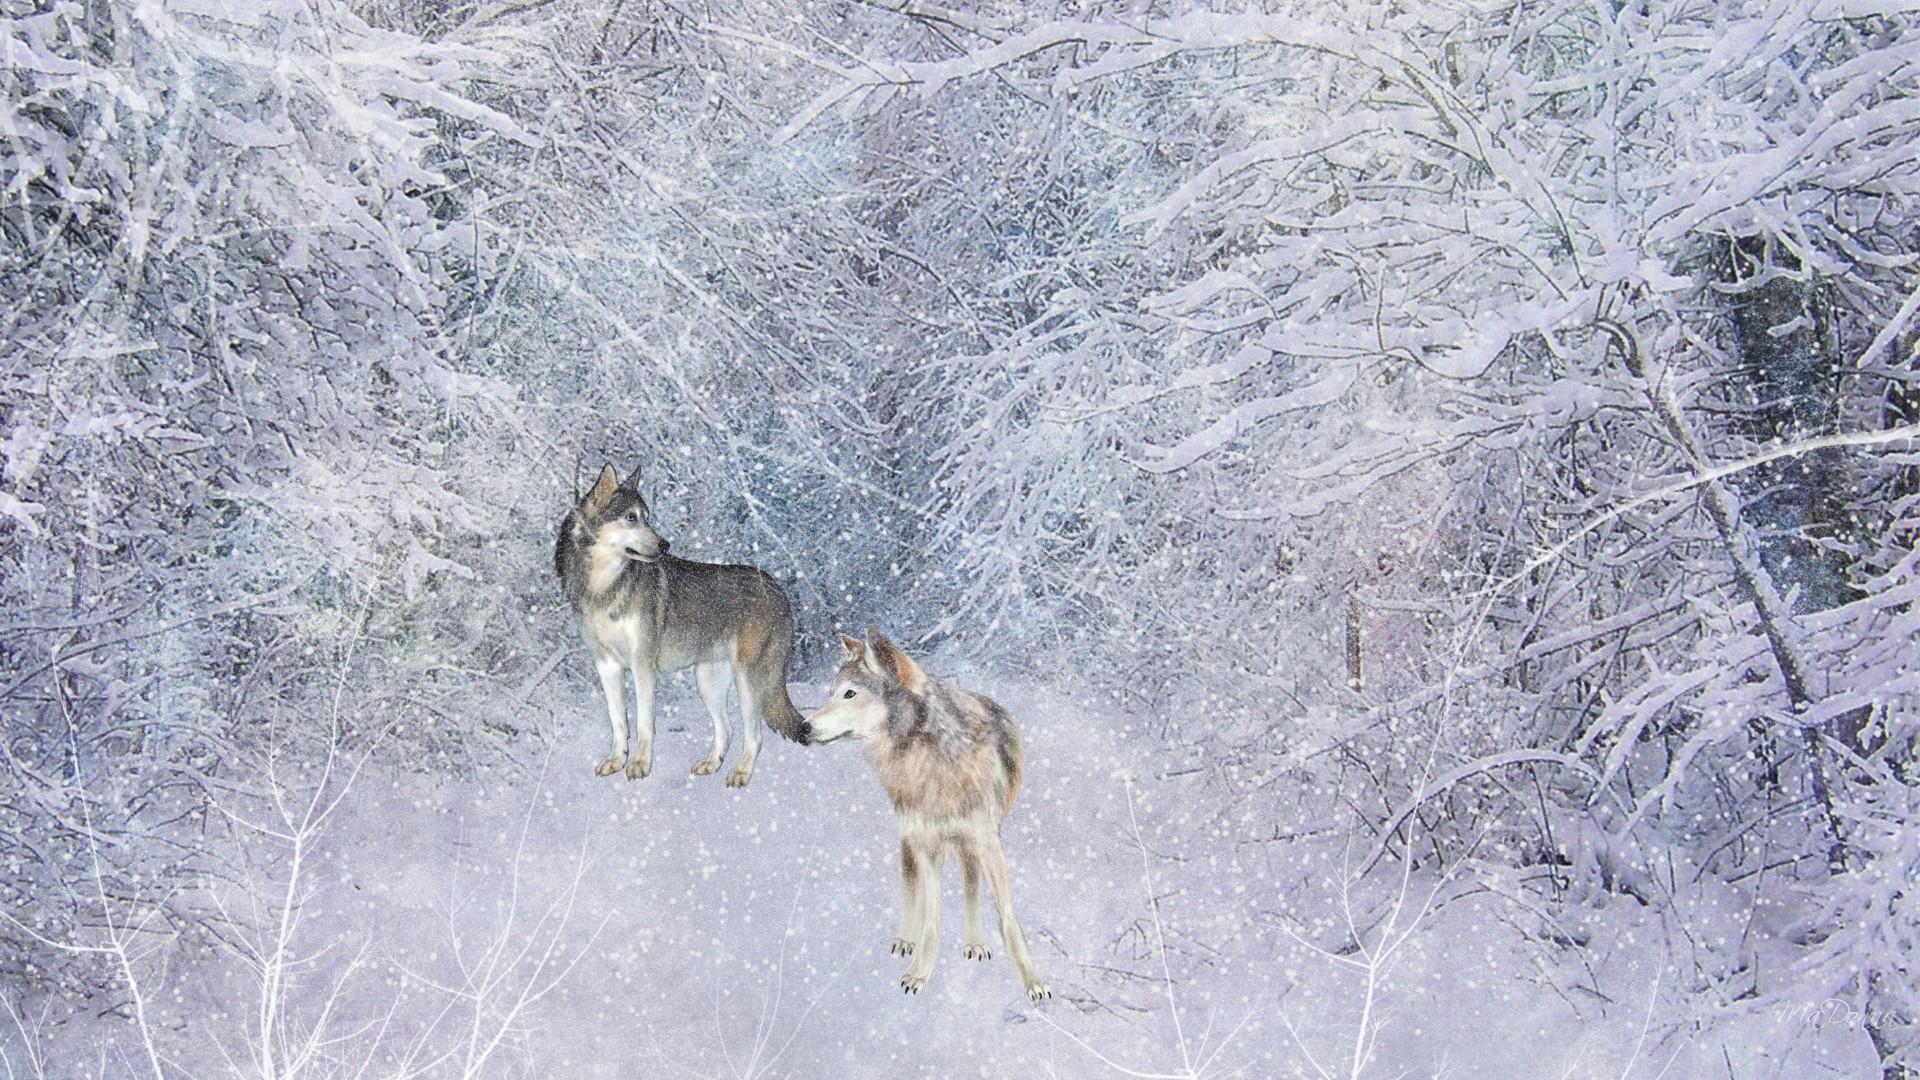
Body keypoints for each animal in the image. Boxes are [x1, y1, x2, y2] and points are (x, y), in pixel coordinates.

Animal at [554, 463, 810, 786]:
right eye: (631, 517)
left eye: (647, 516)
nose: (665, 544)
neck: (604, 586)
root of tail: (779, 588)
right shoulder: (606, 665)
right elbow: (618, 721)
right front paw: (616, 761)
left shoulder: (642, 664)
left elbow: (644, 723)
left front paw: (639, 765)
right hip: (707, 682)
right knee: (727, 730)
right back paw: (711, 765)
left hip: (748, 682)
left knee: (754, 735)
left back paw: (740, 773)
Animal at [804, 629, 1049, 1001]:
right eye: (831, 693)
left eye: (849, 694)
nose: (803, 728)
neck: (929, 755)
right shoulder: (927, 844)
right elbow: (931, 917)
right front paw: (919, 972)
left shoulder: (987, 840)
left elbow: (1006, 914)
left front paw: (1033, 981)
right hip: (911, 839)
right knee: (912, 889)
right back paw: (906, 939)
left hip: (968, 844)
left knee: (970, 884)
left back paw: (975, 942)